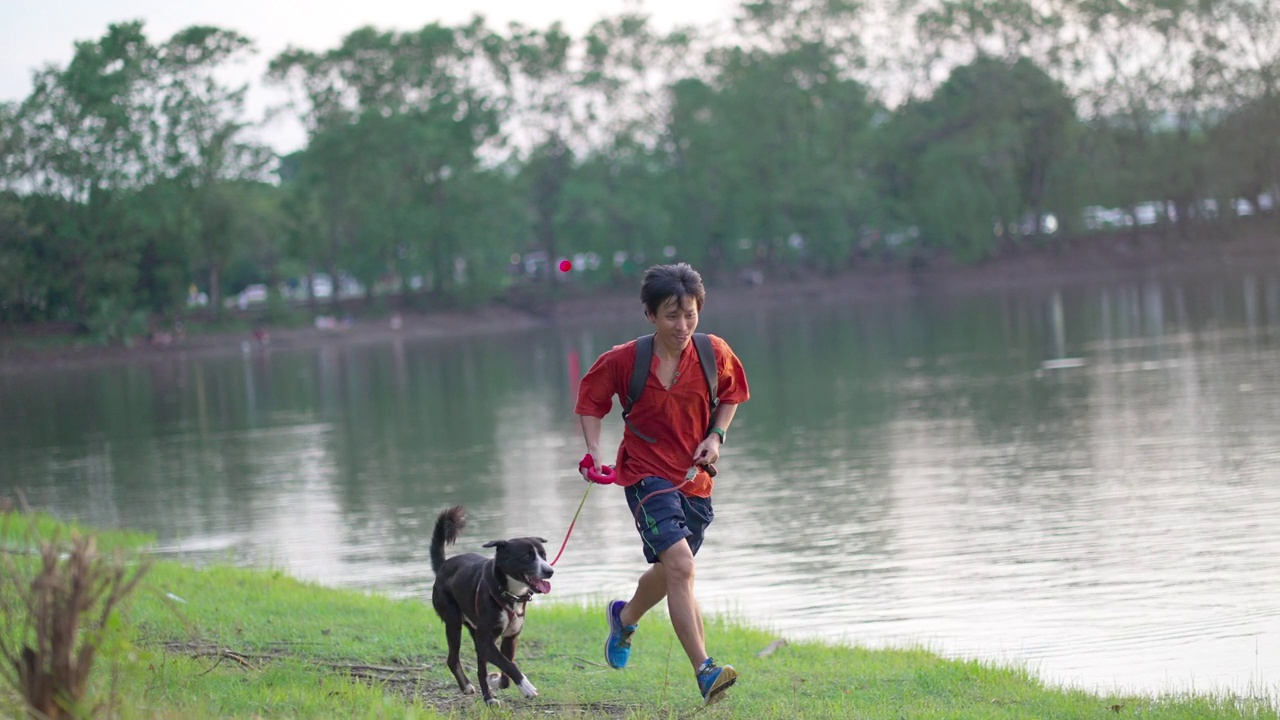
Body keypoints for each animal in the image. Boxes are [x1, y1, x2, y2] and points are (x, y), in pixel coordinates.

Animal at [432, 504, 552, 702]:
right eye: (527, 556)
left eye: (544, 555)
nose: (550, 571)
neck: (509, 594)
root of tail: (443, 566)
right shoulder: (486, 640)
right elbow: (509, 665)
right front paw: (527, 687)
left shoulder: (509, 637)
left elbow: (506, 668)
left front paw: (497, 681)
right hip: (453, 622)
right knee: (452, 659)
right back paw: (468, 687)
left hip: (475, 631)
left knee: (481, 668)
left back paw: (488, 698)